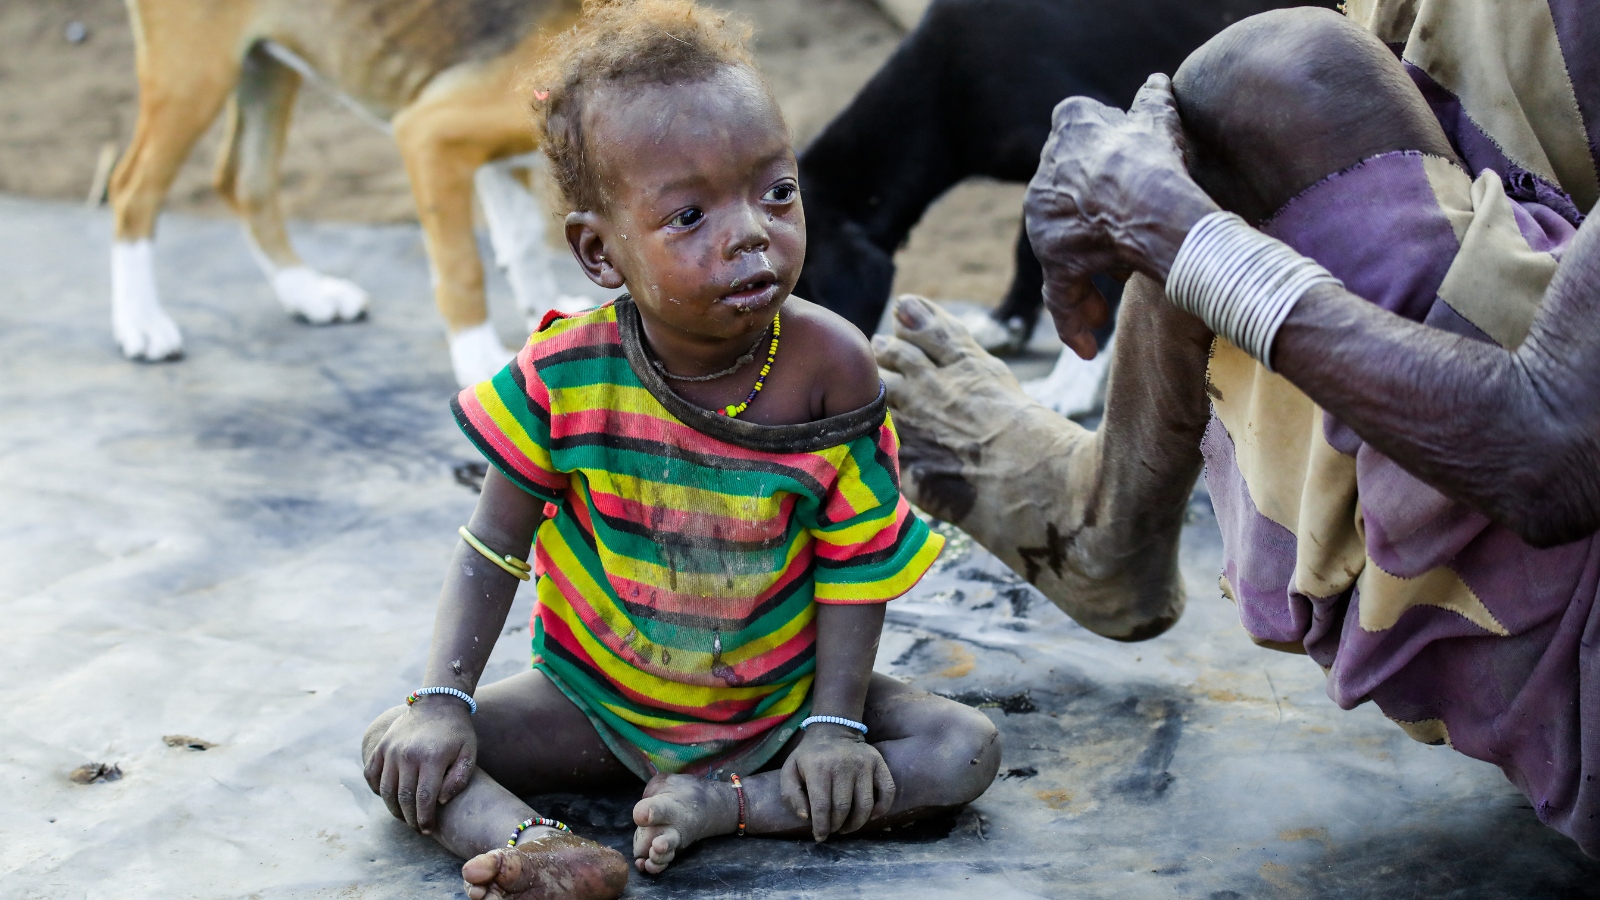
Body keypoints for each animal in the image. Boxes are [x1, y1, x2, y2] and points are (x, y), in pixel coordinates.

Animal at [109, 0, 595, 381]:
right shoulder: (430, 135)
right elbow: (463, 267)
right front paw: (478, 357)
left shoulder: (496, 157)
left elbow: (522, 243)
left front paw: (547, 323)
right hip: (194, 76)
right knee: (132, 191)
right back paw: (141, 322)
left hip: (265, 65)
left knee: (244, 182)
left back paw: (305, 292)